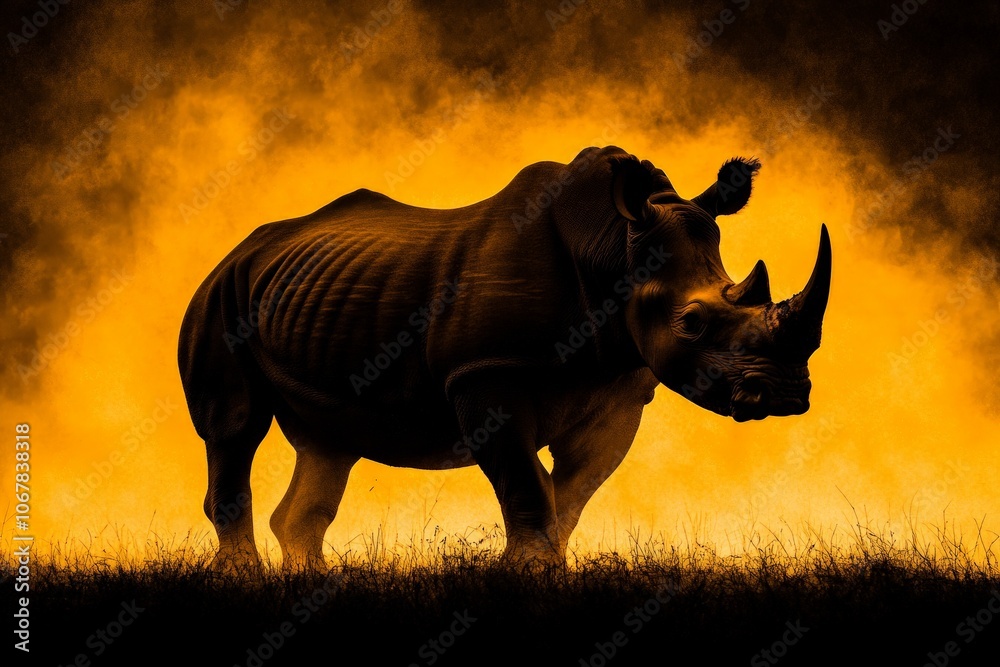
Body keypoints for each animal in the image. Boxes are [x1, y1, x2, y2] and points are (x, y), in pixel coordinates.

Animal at [178, 145, 831, 570]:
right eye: (691, 323)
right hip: (219, 295)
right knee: (234, 428)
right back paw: (244, 581)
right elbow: (527, 486)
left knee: (328, 446)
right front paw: (530, 580)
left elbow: (568, 496)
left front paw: (548, 573)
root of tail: (240, 248)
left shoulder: (620, 390)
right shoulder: (484, 374)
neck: (611, 251)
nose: (785, 395)